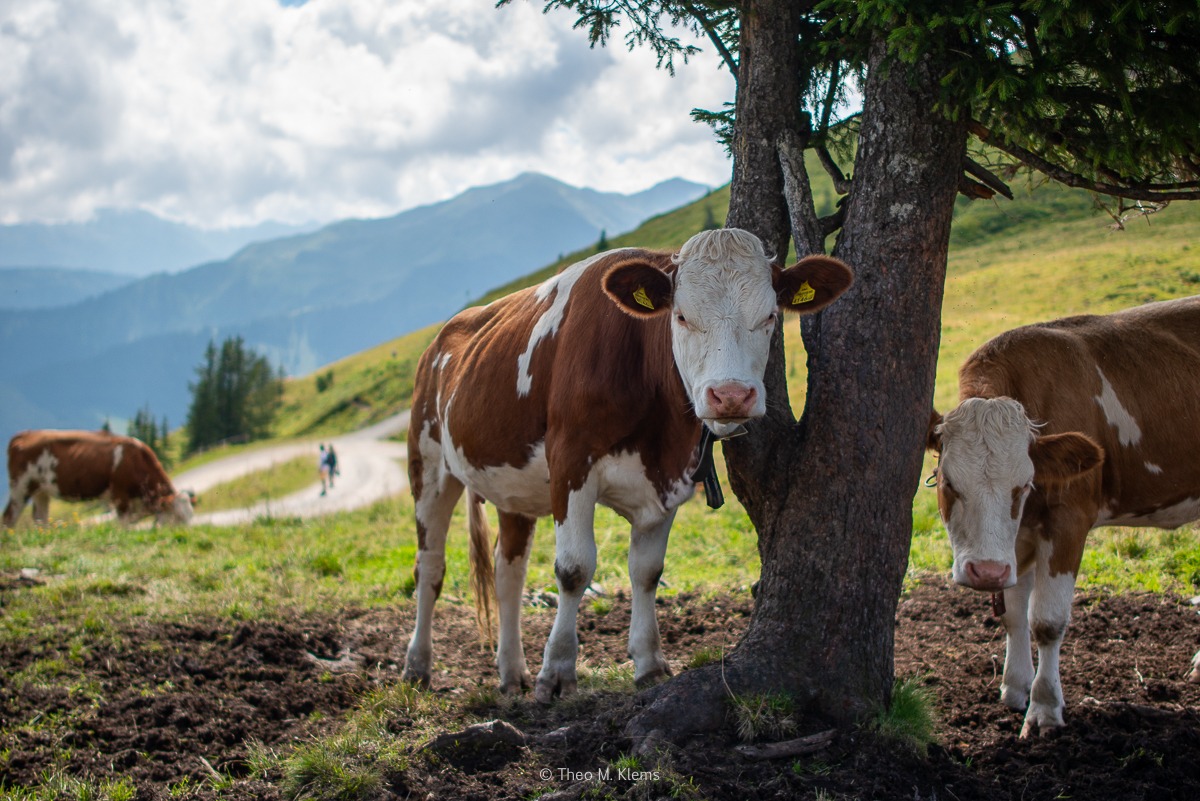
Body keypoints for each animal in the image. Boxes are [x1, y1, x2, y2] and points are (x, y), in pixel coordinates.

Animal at [3, 430, 194, 527]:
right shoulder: (120, 496)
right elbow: (124, 526)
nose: (182, 535)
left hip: (41, 491)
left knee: (40, 519)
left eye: (191, 516)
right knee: (9, 517)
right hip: (21, 486)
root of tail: (23, 435)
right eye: (178, 516)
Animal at [403, 228, 854, 701]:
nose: (730, 396)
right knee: (430, 565)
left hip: (513, 490)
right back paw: (418, 666)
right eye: (681, 317)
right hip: (428, 464)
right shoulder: (570, 463)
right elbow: (574, 568)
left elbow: (647, 571)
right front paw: (557, 671)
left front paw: (650, 663)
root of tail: (442, 337)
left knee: (508, 572)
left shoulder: (671, 477)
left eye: (769, 316)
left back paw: (511, 673)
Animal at [926, 296, 1200, 737]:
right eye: (949, 482)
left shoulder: (1069, 521)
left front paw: (1044, 707)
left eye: (1023, 484)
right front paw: (1015, 687)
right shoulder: (1017, 538)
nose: (985, 572)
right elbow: (1014, 614)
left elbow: (1046, 621)